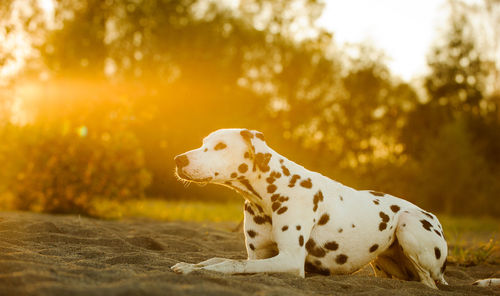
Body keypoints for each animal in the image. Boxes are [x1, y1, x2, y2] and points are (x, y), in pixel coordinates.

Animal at [171, 128, 496, 290]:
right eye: (203, 143)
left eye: (221, 146)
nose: (178, 159)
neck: (266, 194)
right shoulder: (258, 256)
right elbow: (217, 258)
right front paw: (190, 265)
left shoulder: (289, 260)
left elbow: (230, 265)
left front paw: (196, 270)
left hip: (408, 223)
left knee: (429, 284)